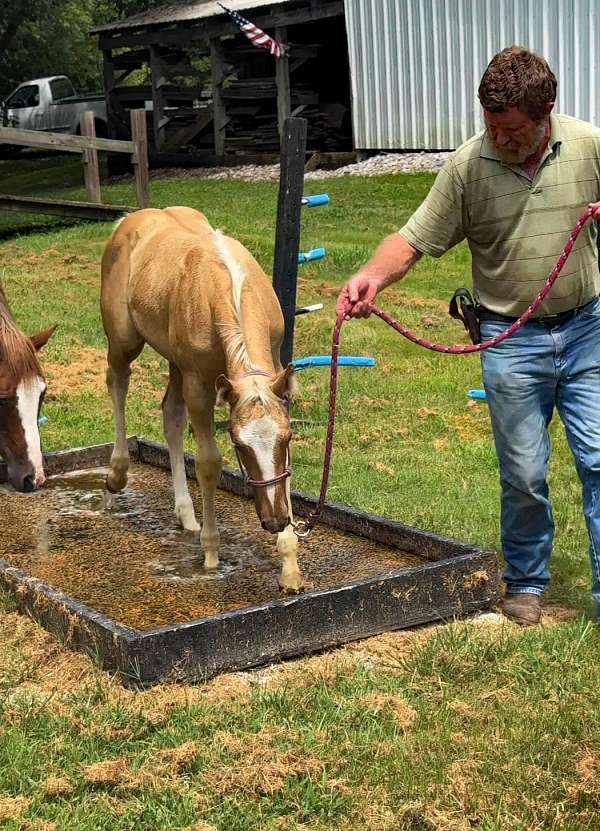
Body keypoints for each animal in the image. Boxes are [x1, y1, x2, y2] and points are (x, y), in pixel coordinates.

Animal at [102, 208, 304, 600]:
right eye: (239, 444)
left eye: (286, 439)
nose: (275, 520)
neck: (230, 289)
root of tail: (127, 221)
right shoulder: (199, 385)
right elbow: (209, 463)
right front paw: (211, 554)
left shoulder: (272, 369)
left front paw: (290, 565)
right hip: (124, 342)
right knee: (117, 382)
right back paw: (117, 475)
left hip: (175, 362)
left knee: (171, 416)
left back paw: (186, 514)